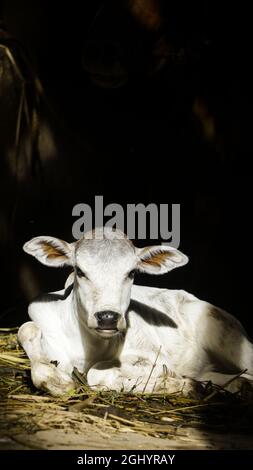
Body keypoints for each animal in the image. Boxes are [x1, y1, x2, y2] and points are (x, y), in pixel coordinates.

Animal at [18, 228, 253, 396]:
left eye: (131, 273)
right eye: (80, 271)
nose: (107, 317)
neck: (91, 349)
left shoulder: (153, 356)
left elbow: (97, 374)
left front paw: (176, 383)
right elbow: (27, 330)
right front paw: (55, 380)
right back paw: (235, 386)